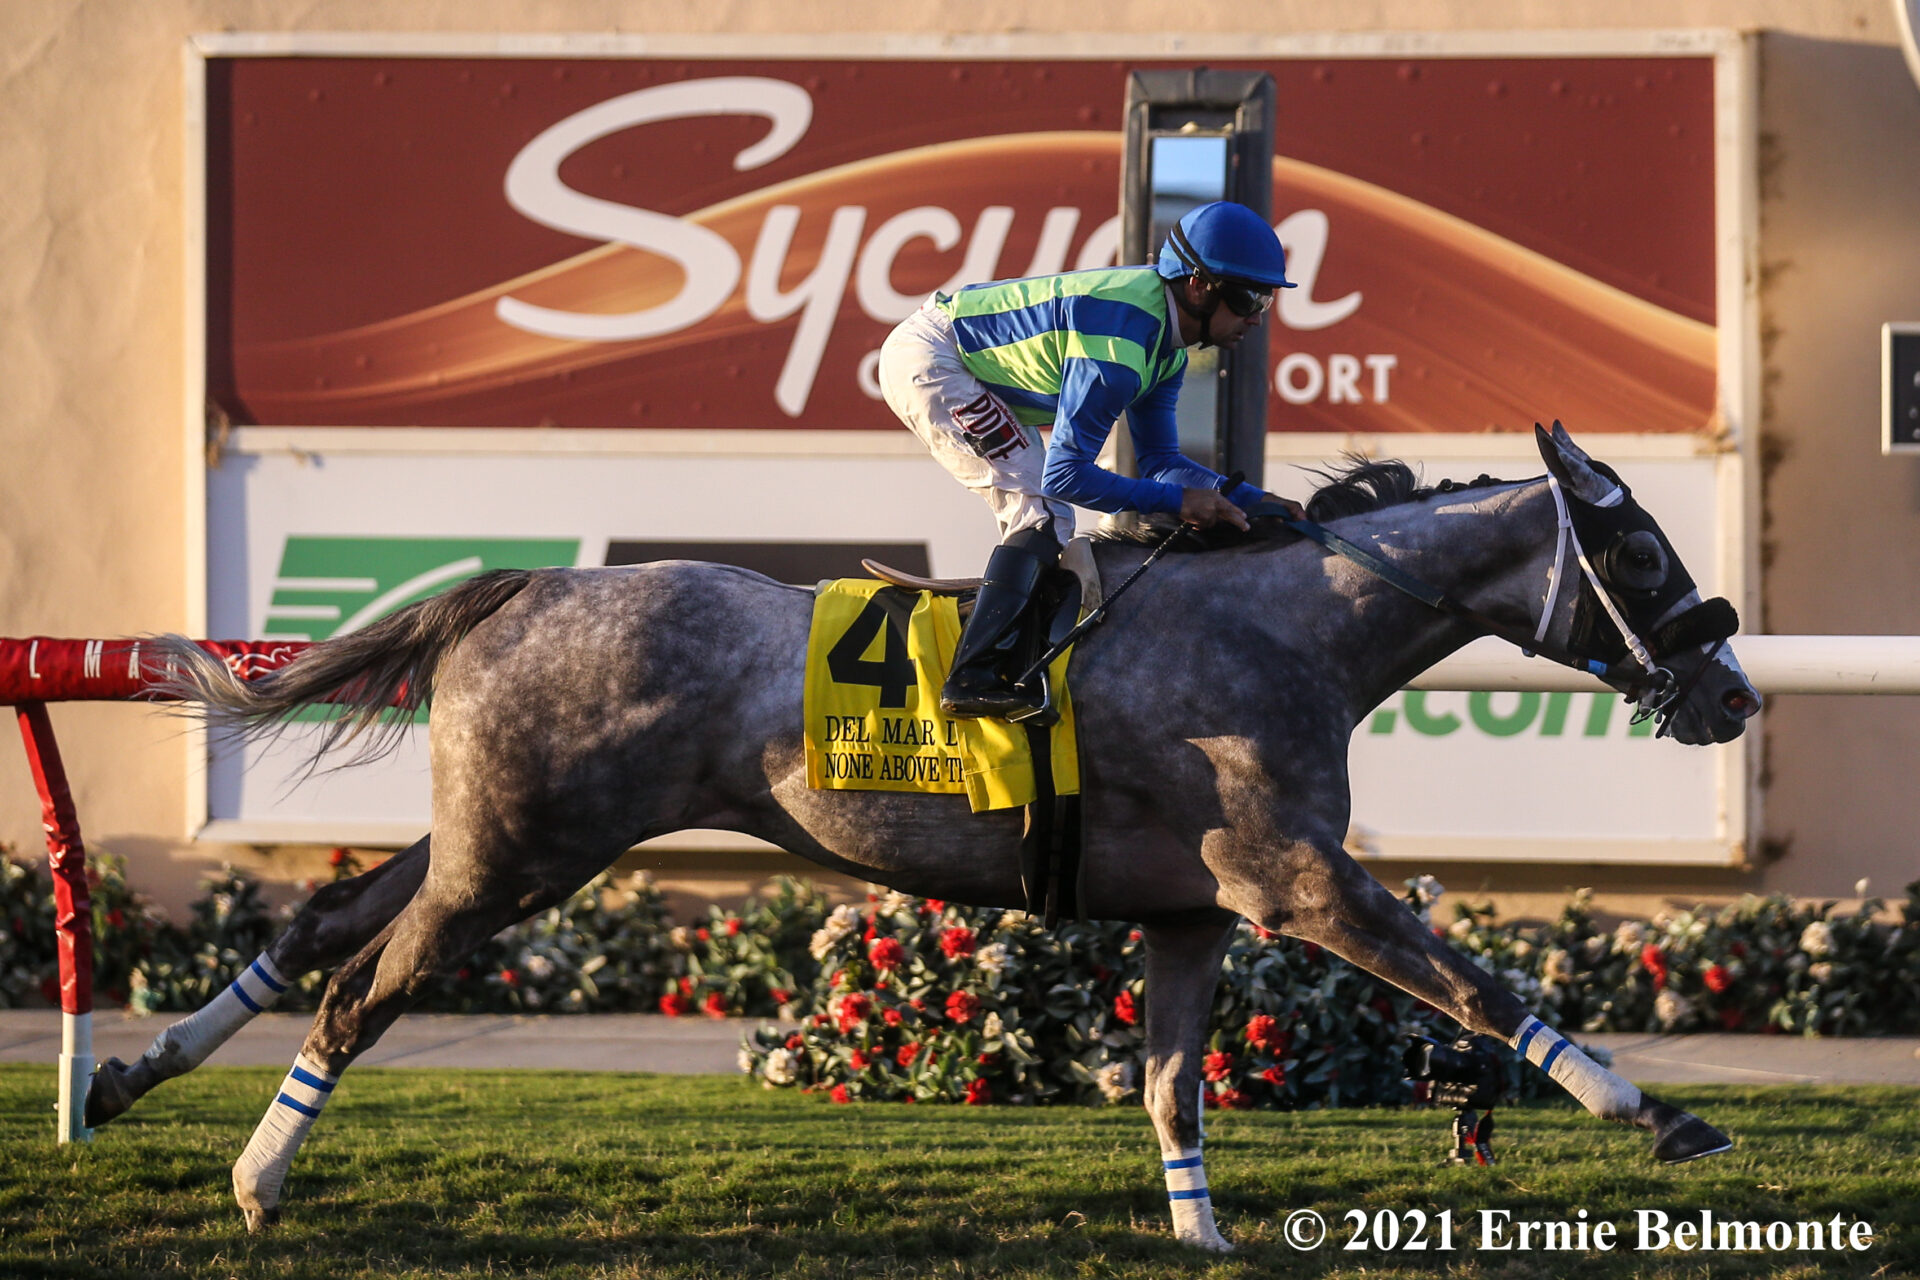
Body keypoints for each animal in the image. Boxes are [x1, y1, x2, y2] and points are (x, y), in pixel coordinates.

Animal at [97, 426, 1758, 1243]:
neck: (1296, 624)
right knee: (352, 993)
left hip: (503, 839)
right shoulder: (1296, 882)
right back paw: (256, 1183)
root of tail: (525, 586)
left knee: (322, 923)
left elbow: (1175, 1090)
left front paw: (1203, 1237)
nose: (1732, 685)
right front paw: (1659, 1114)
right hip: (519, 854)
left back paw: (130, 1075)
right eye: (1635, 552)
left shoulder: (1194, 910)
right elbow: (1484, 986)